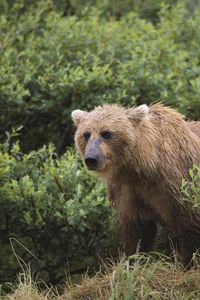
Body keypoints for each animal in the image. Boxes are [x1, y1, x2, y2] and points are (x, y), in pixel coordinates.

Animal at [71, 103, 200, 268]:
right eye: (86, 134)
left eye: (106, 133)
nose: (91, 159)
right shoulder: (128, 191)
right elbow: (137, 231)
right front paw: (134, 261)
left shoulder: (177, 181)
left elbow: (189, 220)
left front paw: (188, 261)